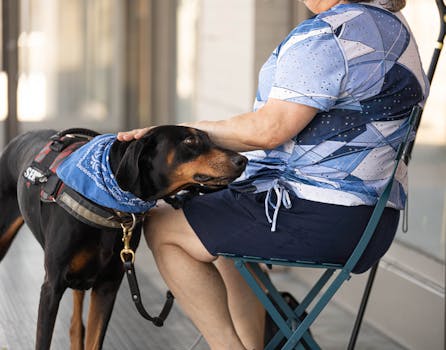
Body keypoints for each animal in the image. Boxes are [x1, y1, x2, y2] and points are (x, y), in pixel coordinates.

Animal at [0, 126, 246, 350]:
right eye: (189, 140)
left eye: (209, 138)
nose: (242, 160)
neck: (109, 203)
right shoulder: (52, 287)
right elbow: (43, 339)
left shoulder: (108, 287)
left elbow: (94, 340)